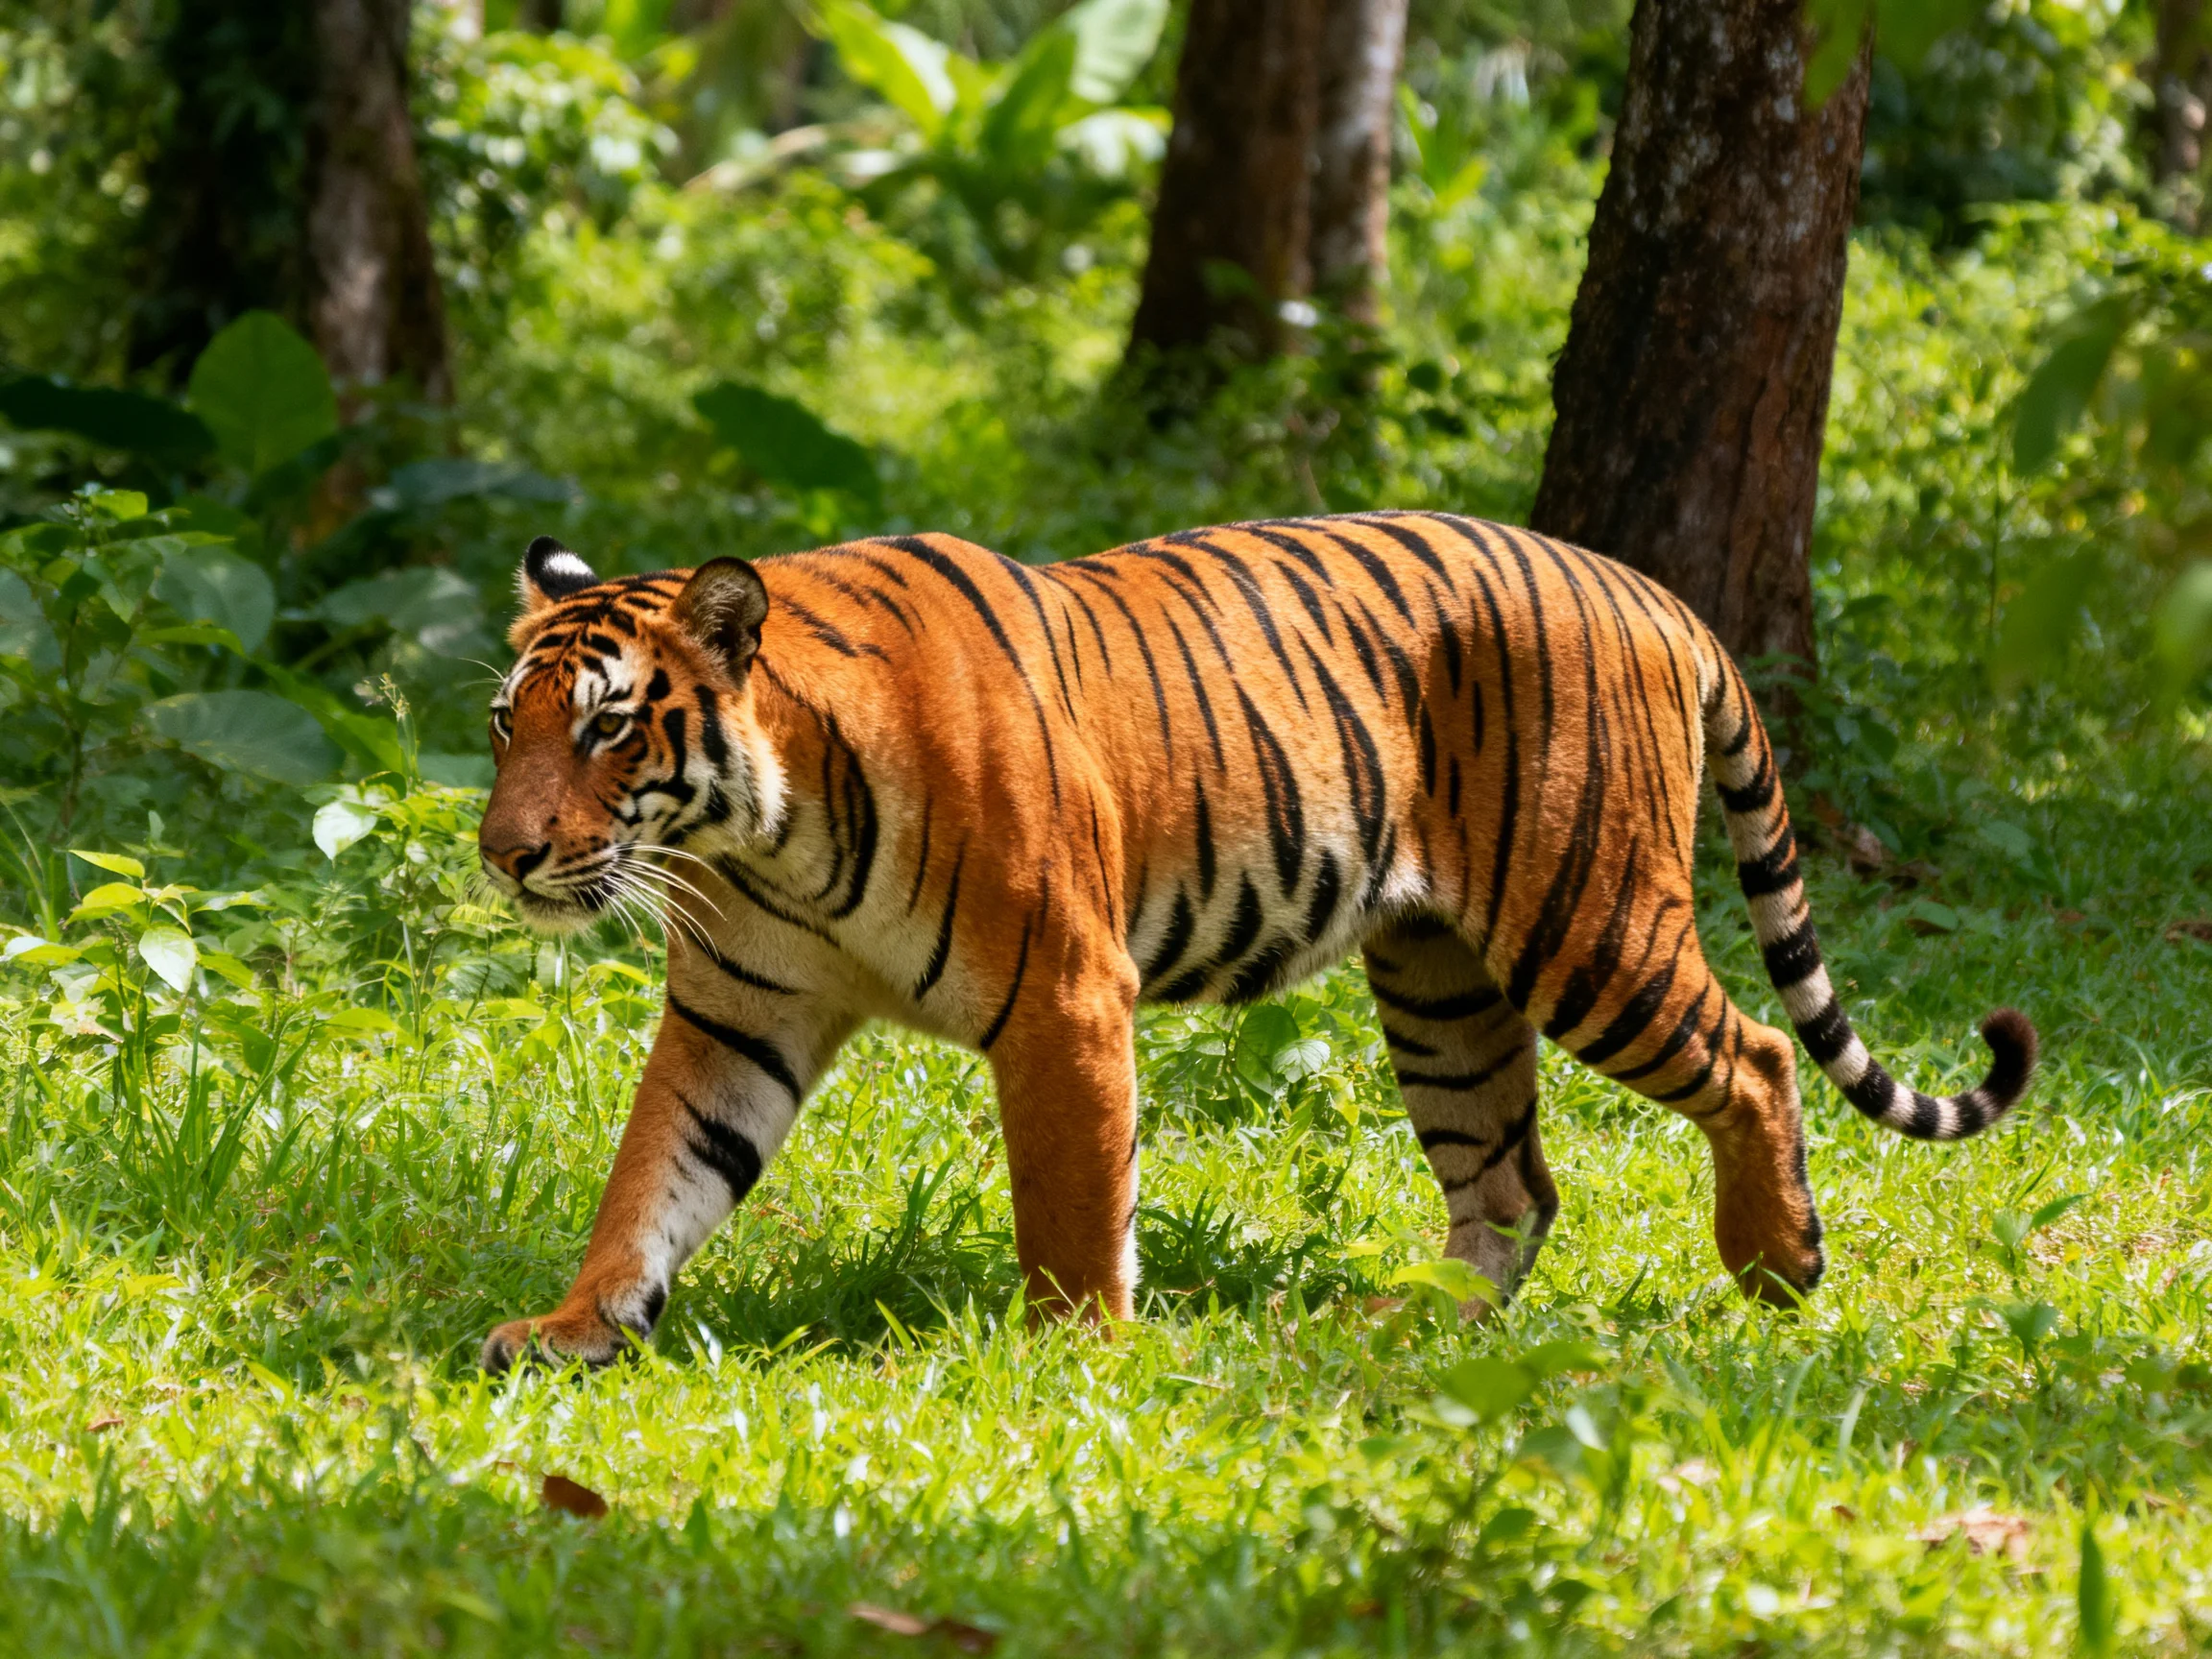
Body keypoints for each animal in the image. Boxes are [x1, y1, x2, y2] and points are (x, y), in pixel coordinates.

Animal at [474, 516, 2036, 1370]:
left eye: (607, 727)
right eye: (507, 723)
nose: (505, 853)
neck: (765, 835)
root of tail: (1650, 591)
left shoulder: (1065, 998)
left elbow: (1070, 1206)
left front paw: (1072, 1360)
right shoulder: (735, 1017)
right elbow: (654, 1180)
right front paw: (573, 1328)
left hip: (1588, 926)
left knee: (1759, 1053)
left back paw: (1780, 1267)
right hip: (1439, 980)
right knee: (1512, 1180)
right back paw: (1401, 1322)